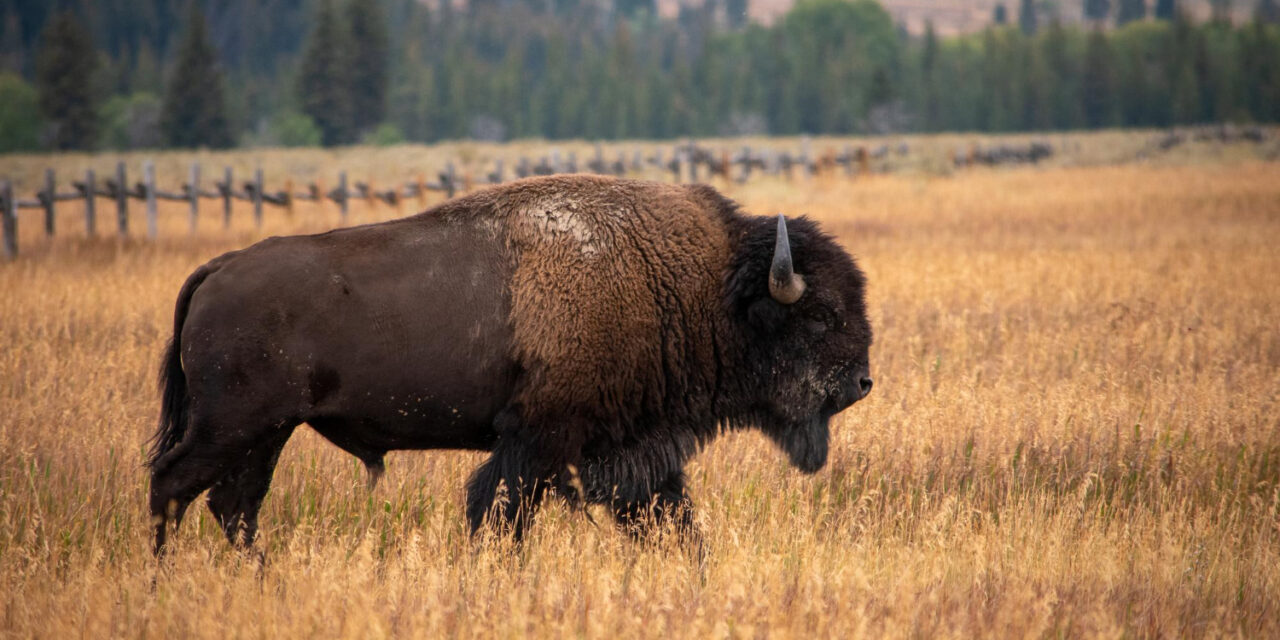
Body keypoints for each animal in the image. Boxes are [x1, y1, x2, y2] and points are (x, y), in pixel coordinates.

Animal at [147, 175, 870, 555]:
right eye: (821, 314)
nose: (862, 383)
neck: (696, 286)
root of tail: (217, 269)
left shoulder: (635, 454)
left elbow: (673, 521)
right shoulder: (538, 442)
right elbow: (500, 514)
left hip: (267, 433)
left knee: (233, 505)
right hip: (233, 426)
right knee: (174, 486)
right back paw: (161, 580)